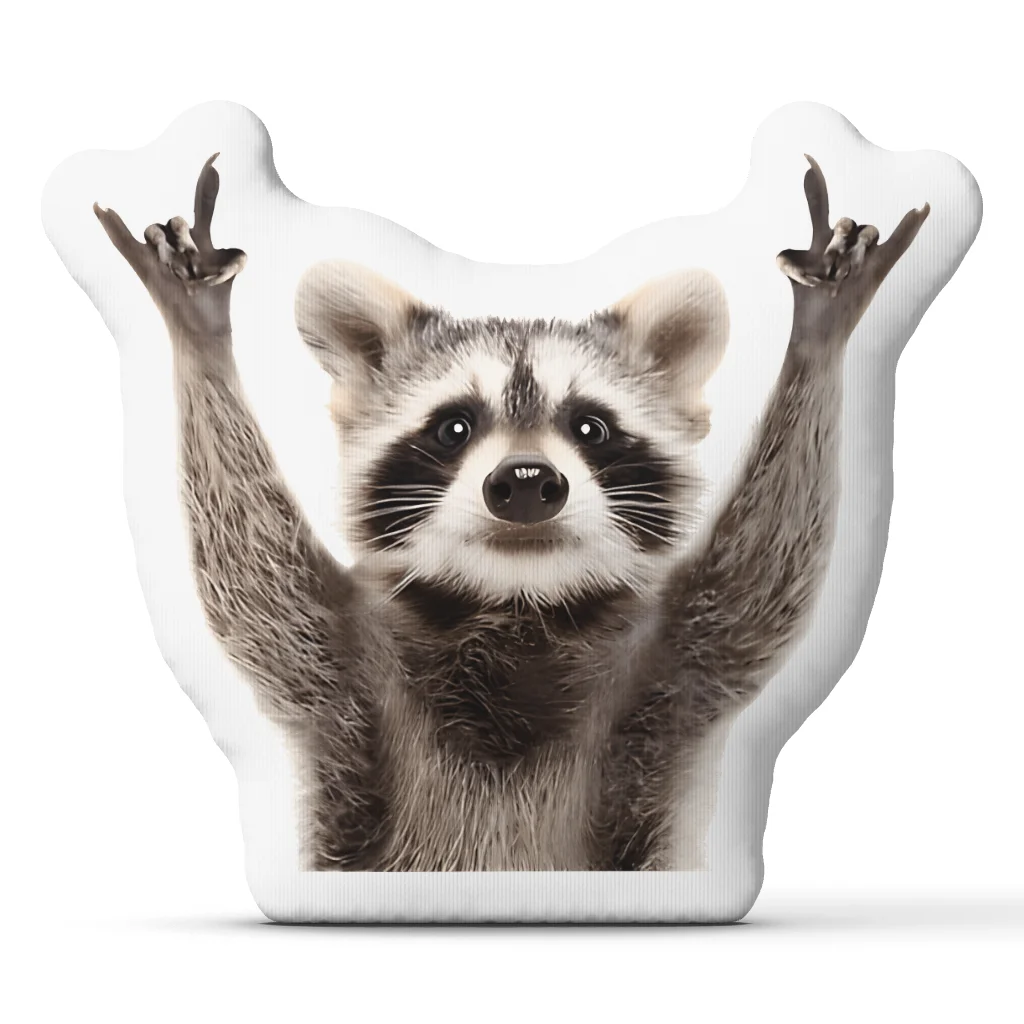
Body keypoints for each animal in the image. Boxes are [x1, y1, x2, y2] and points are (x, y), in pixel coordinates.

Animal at [94, 154, 928, 870]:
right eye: (453, 427)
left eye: (590, 428)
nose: (526, 482)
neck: (516, 603)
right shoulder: (340, 676)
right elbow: (252, 579)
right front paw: (199, 336)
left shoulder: (674, 674)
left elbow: (763, 579)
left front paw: (818, 336)